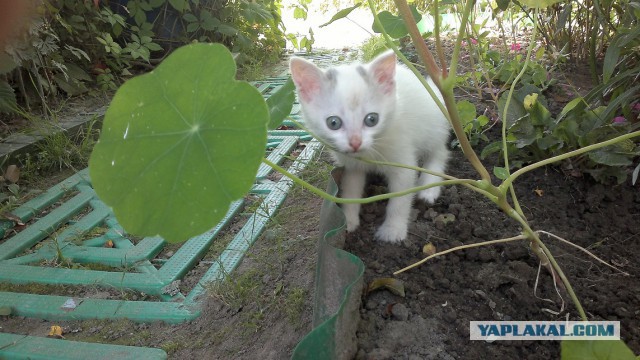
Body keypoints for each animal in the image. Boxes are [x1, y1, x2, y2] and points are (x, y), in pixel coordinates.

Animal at [290, 50, 450, 242]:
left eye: (372, 119)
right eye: (333, 123)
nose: (355, 142)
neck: (370, 152)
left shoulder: (402, 161)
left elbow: (400, 198)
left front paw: (393, 230)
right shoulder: (352, 165)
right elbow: (351, 190)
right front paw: (348, 221)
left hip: (431, 126)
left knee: (440, 151)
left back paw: (430, 187)